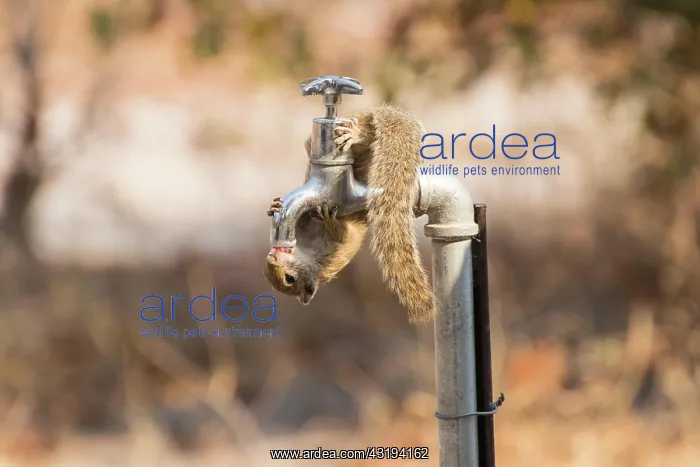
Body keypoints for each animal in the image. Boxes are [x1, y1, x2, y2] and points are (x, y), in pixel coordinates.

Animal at [263, 104, 436, 324]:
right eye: (266, 272)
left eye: (289, 279)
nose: (272, 256)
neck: (307, 251)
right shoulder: (304, 225)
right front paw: (276, 205)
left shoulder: (337, 252)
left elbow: (343, 233)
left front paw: (331, 222)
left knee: (366, 137)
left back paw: (355, 134)